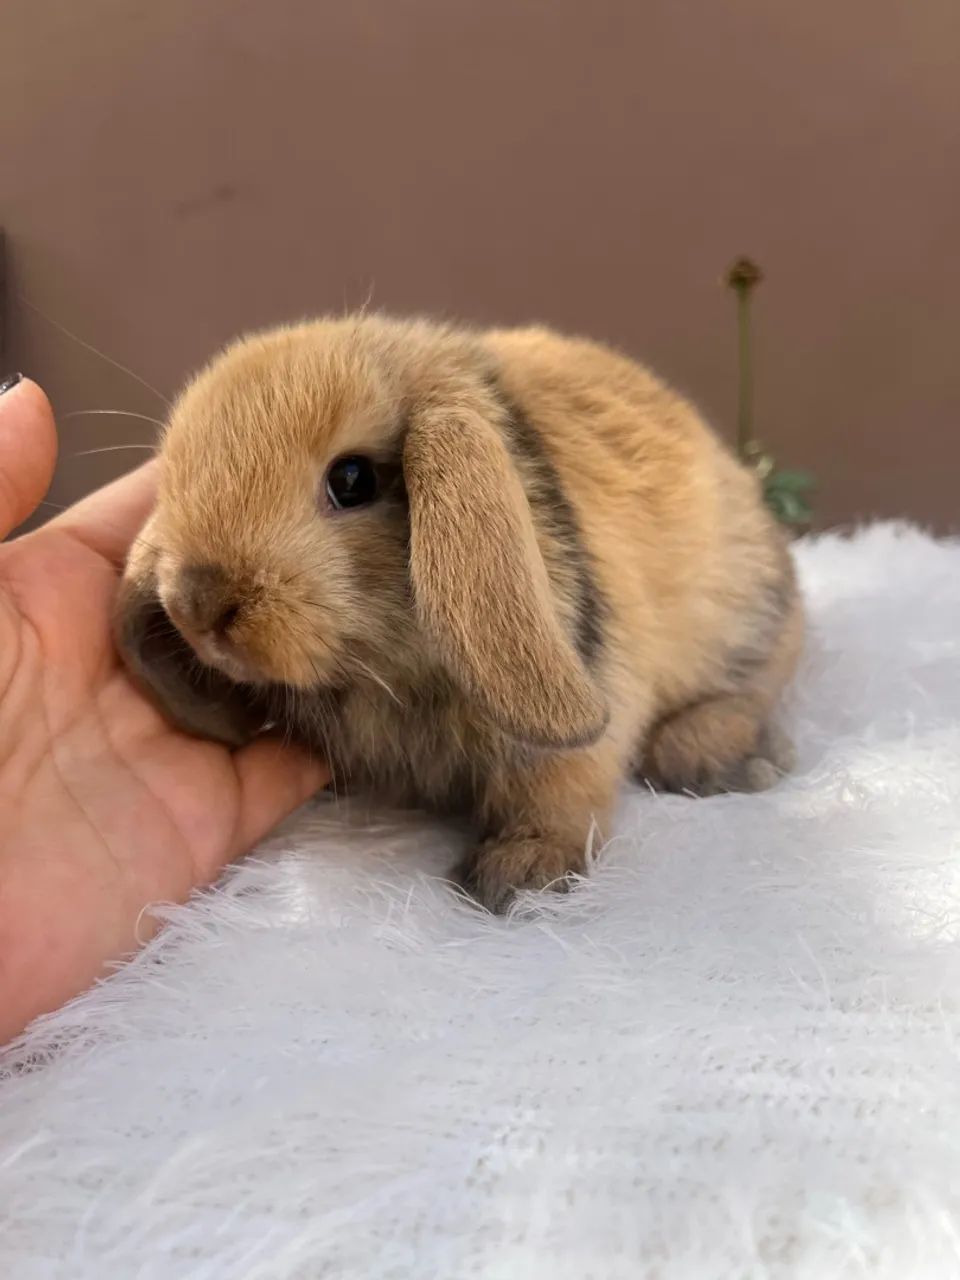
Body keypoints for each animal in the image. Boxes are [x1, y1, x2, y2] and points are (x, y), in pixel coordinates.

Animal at [116, 314, 803, 912]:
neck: (391, 675)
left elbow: (561, 781)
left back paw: (718, 757)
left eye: (352, 479)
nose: (196, 604)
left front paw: (520, 878)